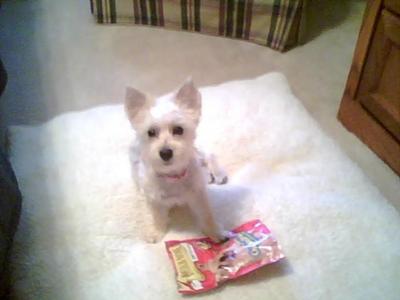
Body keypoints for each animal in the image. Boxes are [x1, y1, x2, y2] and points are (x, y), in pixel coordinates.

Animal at [126, 78, 231, 243]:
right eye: (151, 132)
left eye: (179, 130)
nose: (165, 152)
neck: (172, 175)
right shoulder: (154, 199)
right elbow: (158, 217)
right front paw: (156, 232)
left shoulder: (198, 195)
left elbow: (207, 214)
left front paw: (215, 232)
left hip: (197, 151)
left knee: (208, 156)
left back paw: (217, 173)